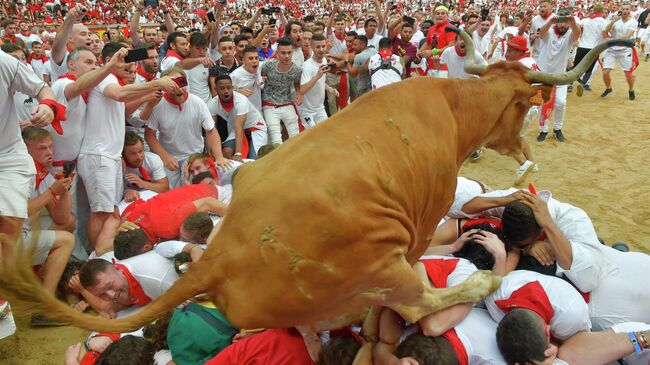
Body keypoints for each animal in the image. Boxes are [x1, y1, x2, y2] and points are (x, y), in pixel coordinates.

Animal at [0, 29, 628, 344]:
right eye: (522, 105)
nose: (523, 151)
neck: (448, 109)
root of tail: (220, 257)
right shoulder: (424, 220)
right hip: (382, 265)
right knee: (421, 300)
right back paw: (477, 284)